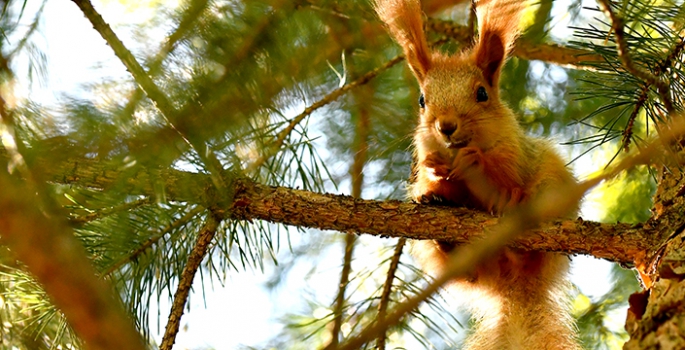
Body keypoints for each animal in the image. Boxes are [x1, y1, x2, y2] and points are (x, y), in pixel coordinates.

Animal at [374, 1, 576, 348]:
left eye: (482, 94)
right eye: (422, 100)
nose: (446, 126)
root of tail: (516, 285)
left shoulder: (515, 153)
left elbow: (504, 172)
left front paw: (476, 164)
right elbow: (435, 176)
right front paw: (437, 175)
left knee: (529, 249)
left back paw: (515, 219)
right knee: (470, 271)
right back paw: (446, 237)